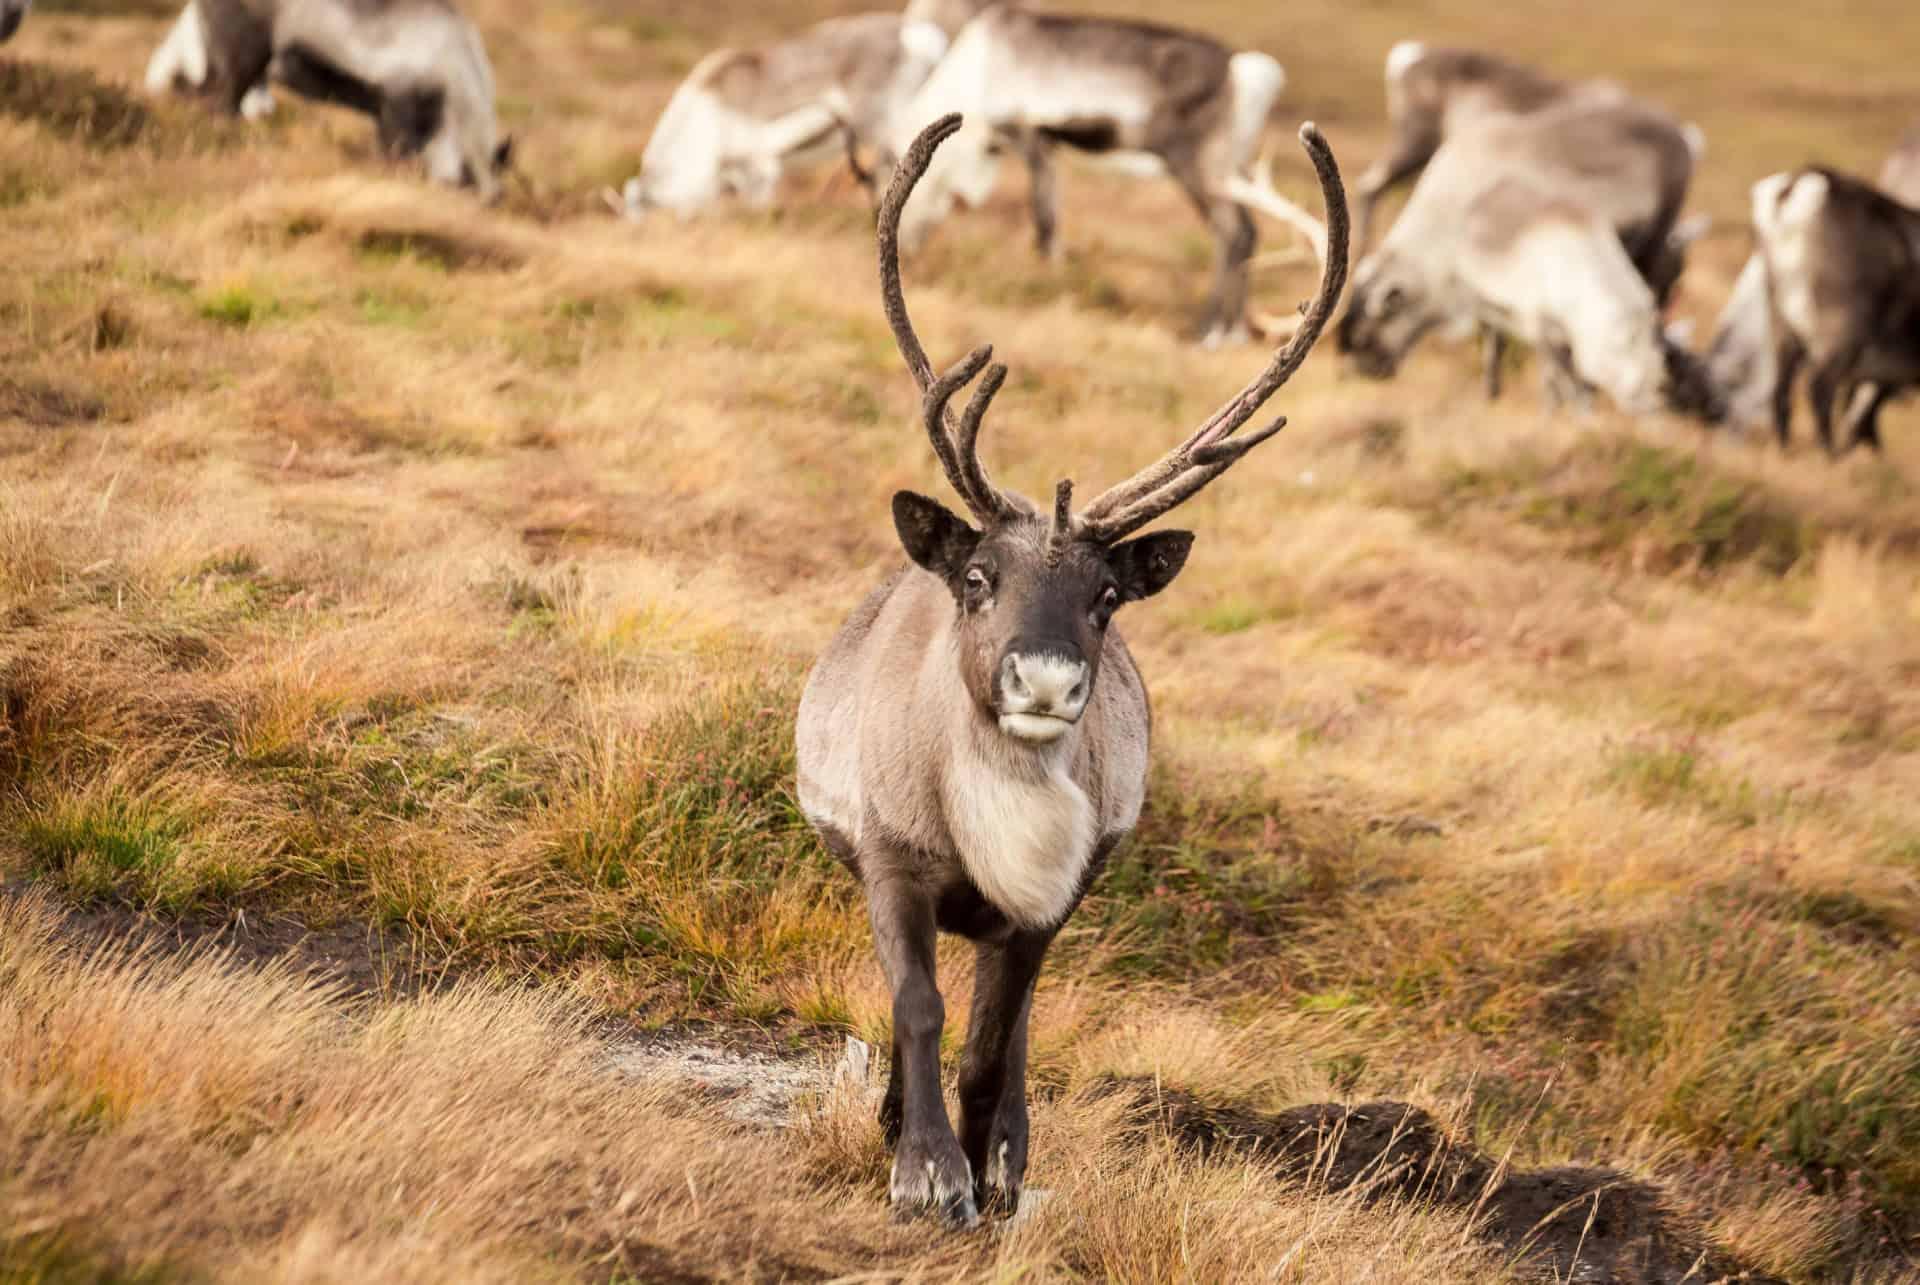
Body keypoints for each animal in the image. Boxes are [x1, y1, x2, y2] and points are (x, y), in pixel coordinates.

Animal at [144, 0, 510, 201]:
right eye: (465, 180)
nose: (488, 201)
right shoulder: (400, 94)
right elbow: (394, 143)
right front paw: (390, 173)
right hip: (247, 48)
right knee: (224, 93)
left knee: (197, 86)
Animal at [795, 112, 1347, 1227]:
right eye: (977, 576)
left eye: (1106, 596)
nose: (1046, 681)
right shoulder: (891, 863)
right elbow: (918, 1007)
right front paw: (924, 1169)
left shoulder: (1047, 903)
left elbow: (991, 1042)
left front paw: (986, 1165)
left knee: (1013, 1031)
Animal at [879, 6, 1287, 347]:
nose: (908, 253)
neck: (973, 73)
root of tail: (1246, 70)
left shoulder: (1029, 137)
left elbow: (1044, 220)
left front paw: (1049, 275)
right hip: (1235, 169)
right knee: (1247, 231)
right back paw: (1235, 332)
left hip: (1198, 166)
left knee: (1231, 232)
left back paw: (1211, 331)